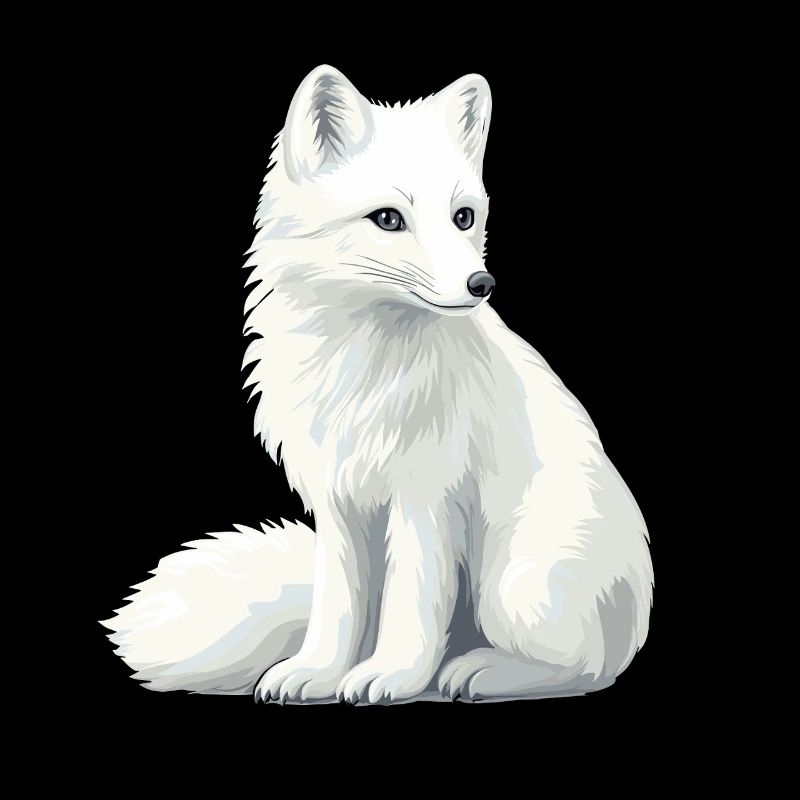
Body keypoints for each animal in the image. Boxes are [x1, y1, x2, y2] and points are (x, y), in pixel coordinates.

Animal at [103, 65, 654, 704]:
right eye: (388, 218)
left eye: (463, 217)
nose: (482, 283)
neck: (365, 362)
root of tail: (636, 610)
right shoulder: (338, 501)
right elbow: (338, 605)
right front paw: (318, 672)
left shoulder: (426, 498)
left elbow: (412, 602)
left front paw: (391, 675)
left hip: (515, 589)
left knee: (588, 667)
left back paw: (477, 671)